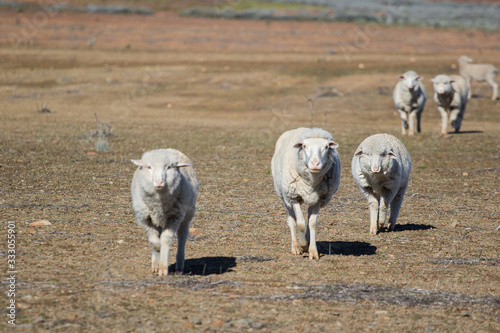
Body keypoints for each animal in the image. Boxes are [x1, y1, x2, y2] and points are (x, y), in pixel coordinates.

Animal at [272, 127, 342, 260]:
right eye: (304, 146)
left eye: (326, 147)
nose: (315, 164)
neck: (312, 181)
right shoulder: (294, 197)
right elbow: (300, 223)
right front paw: (303, 246)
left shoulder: (320, 198)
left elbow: (313, 223)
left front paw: (312, 250)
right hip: (285, 197)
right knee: (292, 220)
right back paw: (295, 247)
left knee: (309, 216)